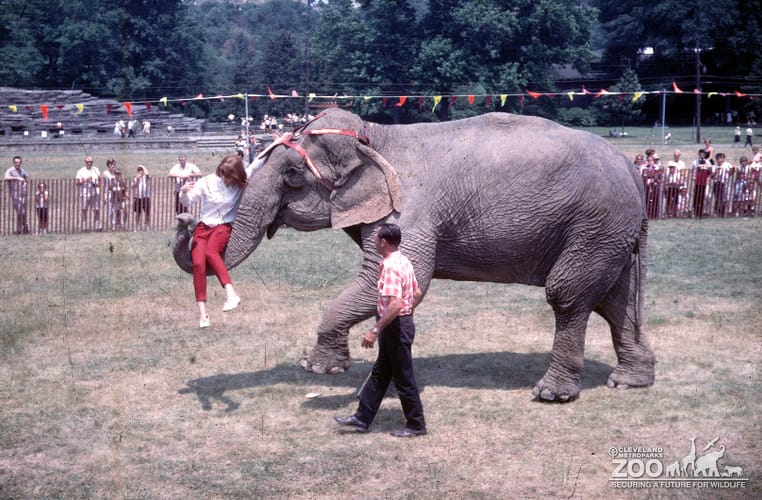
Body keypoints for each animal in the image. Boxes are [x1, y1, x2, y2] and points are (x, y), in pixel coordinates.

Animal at [173, 108, 656, 402]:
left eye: (292, 175)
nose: (184, 213)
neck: (376, 136)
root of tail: (633, 170)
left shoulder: (411, 206)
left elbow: (402, 278)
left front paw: (318, 371)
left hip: (595, 223)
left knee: (569, 295)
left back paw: (552, 394)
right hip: (609, 232)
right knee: (614, 300)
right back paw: (630, 382)